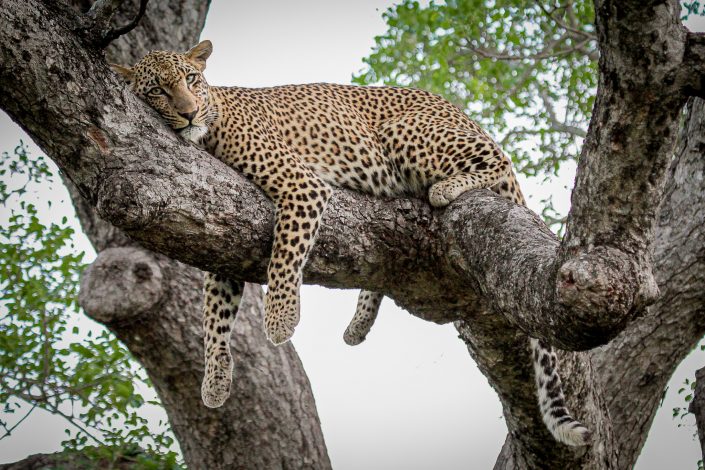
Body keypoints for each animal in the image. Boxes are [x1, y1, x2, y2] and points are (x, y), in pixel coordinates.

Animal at [111, 39, 588, 444]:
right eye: (157, 90)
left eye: (191, 80)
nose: (190, 113)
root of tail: (463, 114)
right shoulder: (225, 236)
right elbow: (215, 313)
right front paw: (214, 382)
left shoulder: (301, 184)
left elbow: (285, 254)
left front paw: (280, 320)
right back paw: (358, 323)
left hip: (406, 132)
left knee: (499, 160)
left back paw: (447, 189)